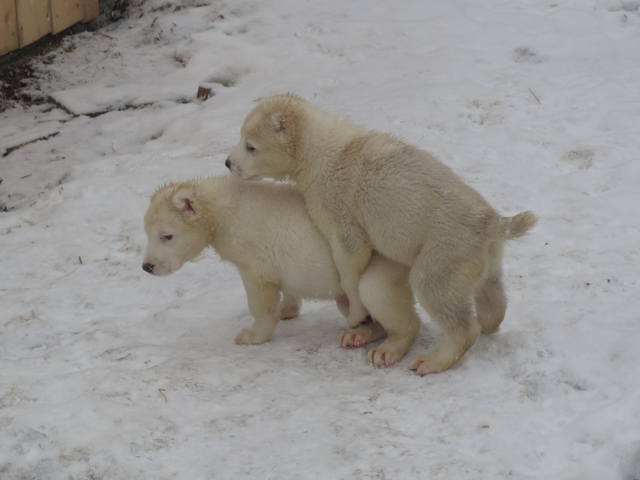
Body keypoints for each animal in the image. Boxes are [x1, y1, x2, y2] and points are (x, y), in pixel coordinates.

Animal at [142, 174, 420, 366]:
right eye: (147, 232)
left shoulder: (252, 255)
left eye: (166, 236)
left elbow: (260, 295)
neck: (222, 210)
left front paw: (251, 335)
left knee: (379, 294)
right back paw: (358, 334)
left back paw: (388, 349)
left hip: (383, 264)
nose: (147, 266)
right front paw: (287, 309)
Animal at [225, 94, 536, 376]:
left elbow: (350, 257)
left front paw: (355, 314)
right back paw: (490, 320)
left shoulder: (336, 203)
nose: (228, 162)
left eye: (251, 146)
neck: (320, 150)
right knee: (490, 288)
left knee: (438, 294)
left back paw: (431, 360)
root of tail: (492, 222)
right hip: (482, 253)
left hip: (445, 250)